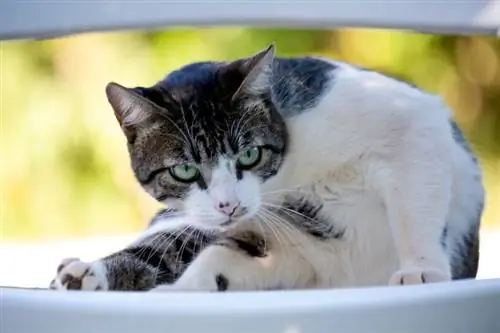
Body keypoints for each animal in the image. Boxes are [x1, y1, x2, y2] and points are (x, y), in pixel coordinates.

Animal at [48, 43, 482, 290]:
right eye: (184, 171)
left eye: (250, 155)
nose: (229, 206)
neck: (290, 174)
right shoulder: (274, 247)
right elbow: (211, 257)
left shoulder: (410, 119)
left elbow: (415, 204)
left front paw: (422, 270)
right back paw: (86, 274)